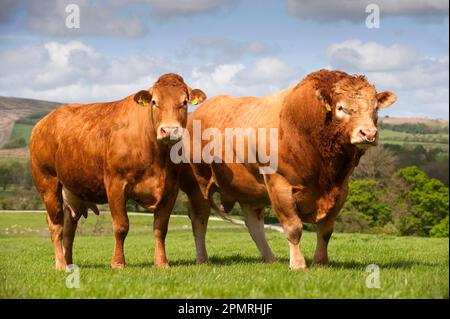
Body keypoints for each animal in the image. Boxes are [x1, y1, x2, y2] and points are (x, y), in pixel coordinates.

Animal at [30, 74, 207, 272]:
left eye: (184, 102)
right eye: (154, 101)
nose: (169, 130)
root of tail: (43, 122)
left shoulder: (171, 189)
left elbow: (160, 228)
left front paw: (161, 262)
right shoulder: (115, 184)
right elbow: (121, 226)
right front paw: (117, 263)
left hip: (71, 190)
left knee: (69, 228)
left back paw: (69, 263)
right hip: (47, 182)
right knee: (56, 225)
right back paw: (61, 265)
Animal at [181, 69, 396, 270]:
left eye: (375, 108)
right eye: (341, 107)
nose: (368, 134)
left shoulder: (340, 189)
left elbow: (326, 230)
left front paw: (321, 262)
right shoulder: (279, 184)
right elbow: (293, 227)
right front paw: (298, 264)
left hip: (249, 190)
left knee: (254, 224)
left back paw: (270, 259)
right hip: (198, 186)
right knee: (200, 219)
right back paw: (202, 259)